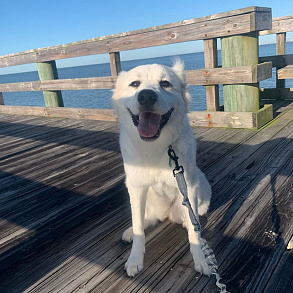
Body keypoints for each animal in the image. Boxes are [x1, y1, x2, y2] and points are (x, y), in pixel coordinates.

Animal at [111, 59, 210, 276]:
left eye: (165, 83)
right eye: (135, 84)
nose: (147, 96)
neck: (155, 145)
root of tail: (166, 213)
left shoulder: (189, 185)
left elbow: (194, 233)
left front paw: (201, 259)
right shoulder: (137, 188)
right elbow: (138, 227)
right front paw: (135, 259)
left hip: (200, 189)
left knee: (192, 219)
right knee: (144, 219)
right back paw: (130, 232)